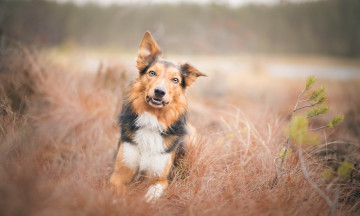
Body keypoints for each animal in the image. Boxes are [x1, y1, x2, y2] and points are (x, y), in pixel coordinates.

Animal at [109, 31, 205, 202]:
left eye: (175, 80)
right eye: (152, 73)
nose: (159, 92)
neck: (152, 119)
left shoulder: (160, 179)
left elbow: (152, 194)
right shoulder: (120, 172)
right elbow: (117, 190)